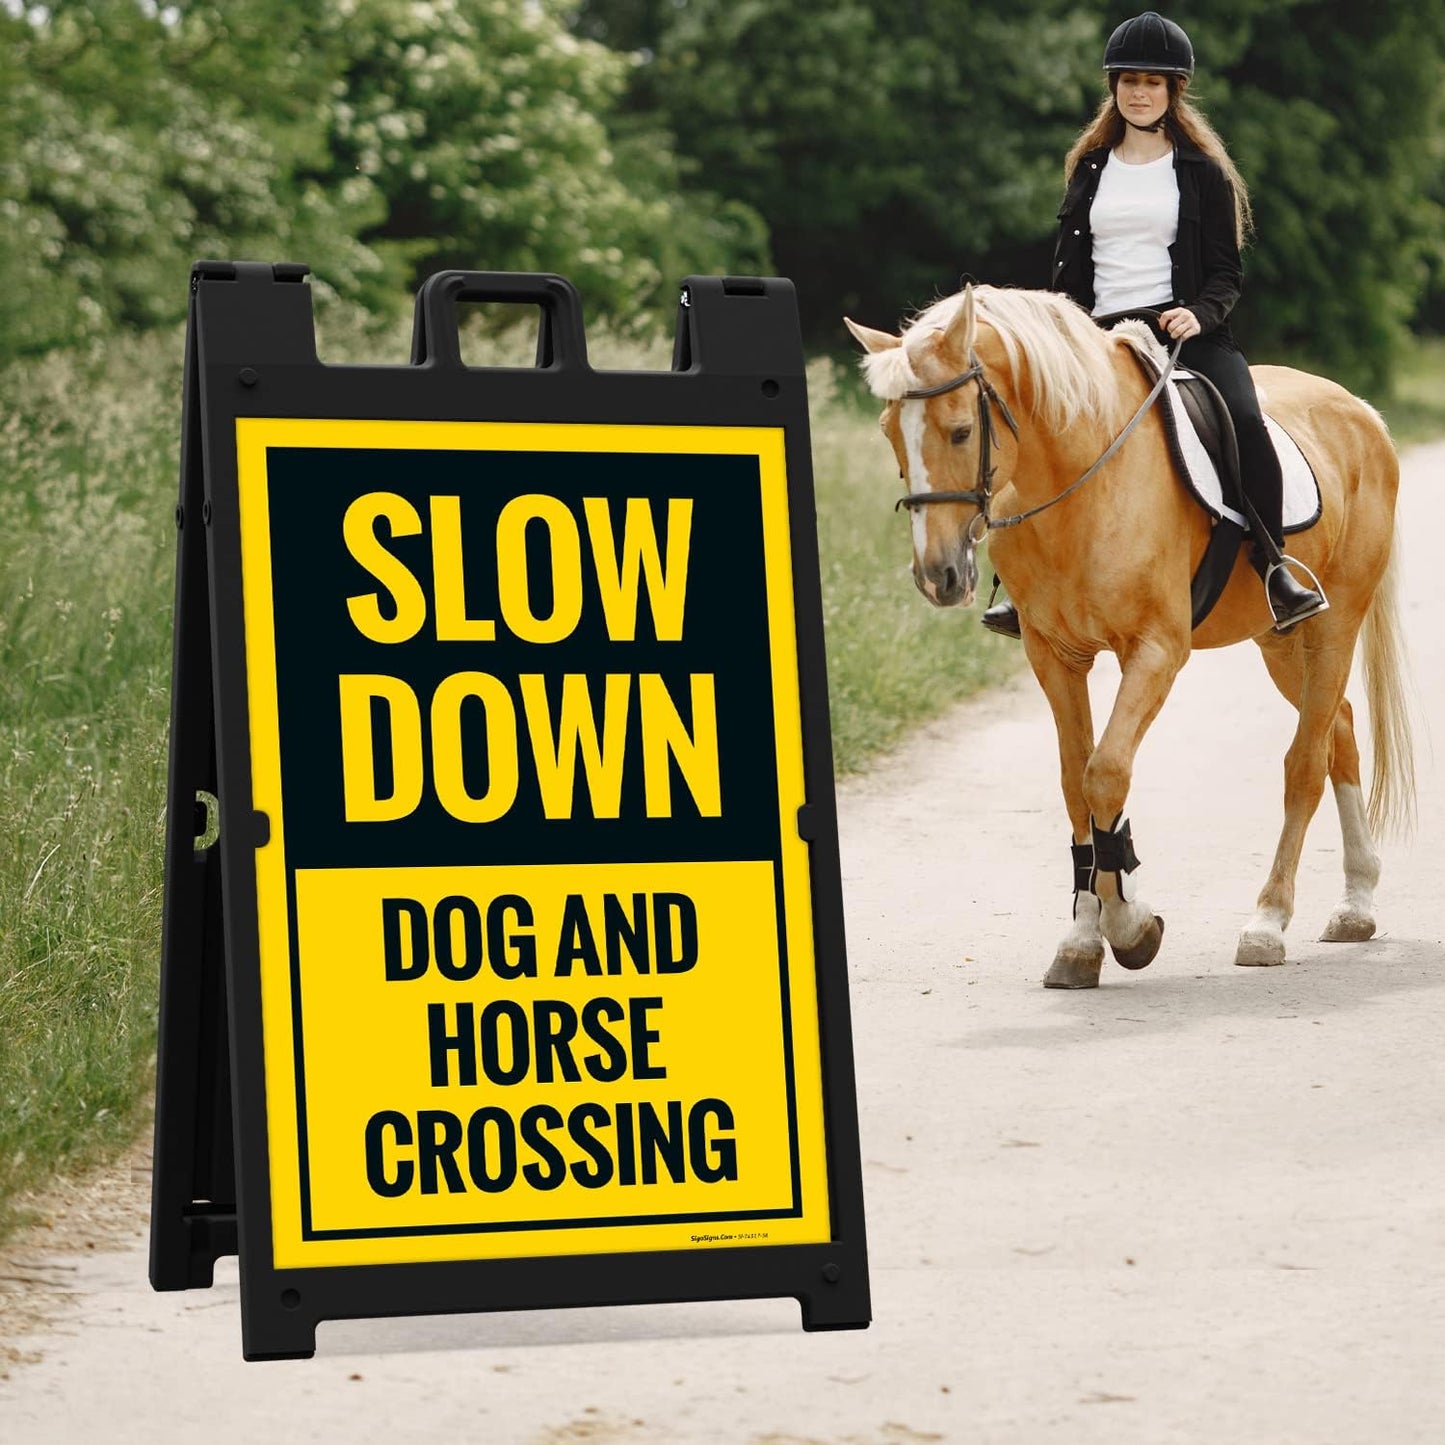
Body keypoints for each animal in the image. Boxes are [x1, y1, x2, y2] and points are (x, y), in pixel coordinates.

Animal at [845, 282, 1414, 988]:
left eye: (960, 431)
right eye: (890, 433)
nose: (938, 575)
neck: (1079, 482)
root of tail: (1362, 414)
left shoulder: (1156, 652)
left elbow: (1107, 772)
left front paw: (1130, 926)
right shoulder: (1054, 656)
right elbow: (1075, 783)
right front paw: (1082, 941)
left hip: (1335, 625)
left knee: (1306, 763)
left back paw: (1268, 921)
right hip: (1281, 642)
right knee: (1340, 730)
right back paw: (1356, 904)